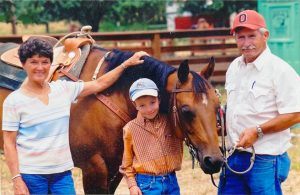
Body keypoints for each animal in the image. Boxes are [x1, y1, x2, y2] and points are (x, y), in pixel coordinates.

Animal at [0, 40, 223, 193]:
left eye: (217, 106)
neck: (111, 96)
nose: (214, 160)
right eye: (186, 110)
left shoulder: (114, 168)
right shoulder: (94, 169)